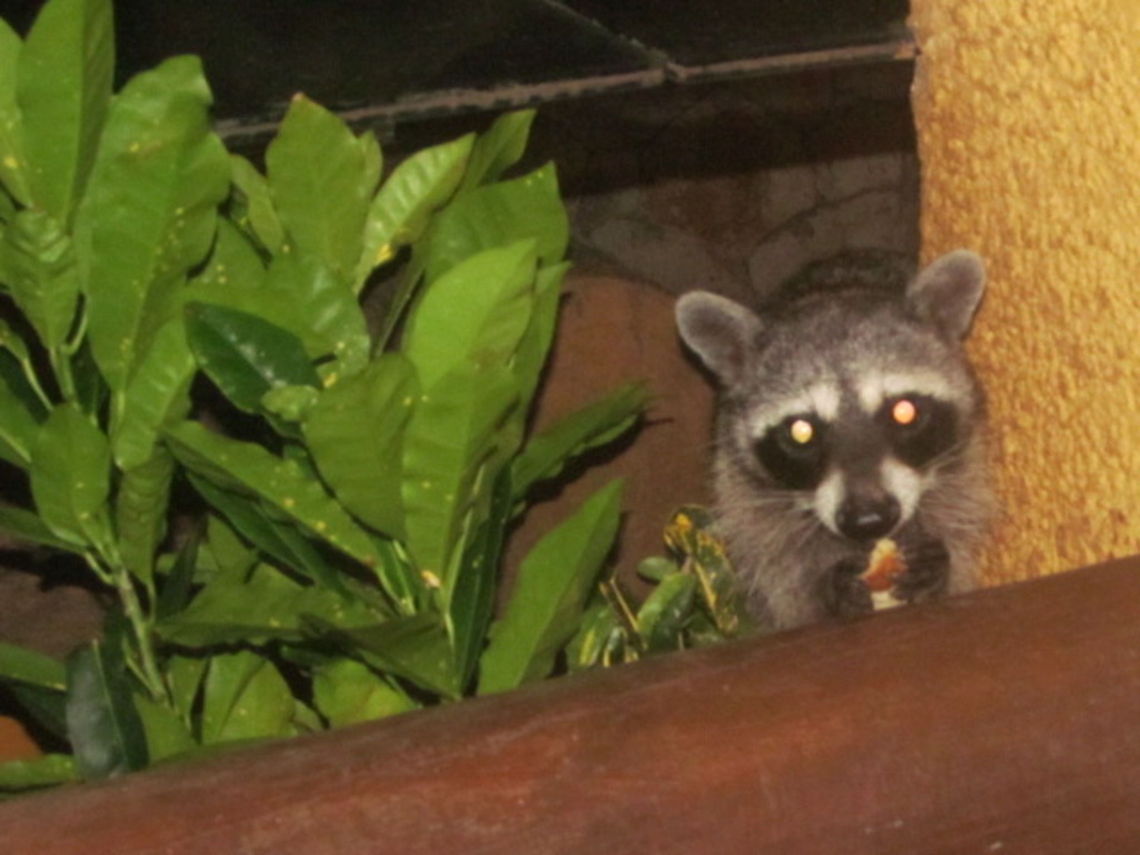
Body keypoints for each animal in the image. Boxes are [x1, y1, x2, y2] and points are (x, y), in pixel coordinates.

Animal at [676, 250, 994, 631]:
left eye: (904, 412)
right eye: (801, 431)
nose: (868, 520)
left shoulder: (968, 457)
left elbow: (961, 524)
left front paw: (942, 566)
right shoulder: (737, 484)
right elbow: (777, 587)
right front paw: (823, 589)